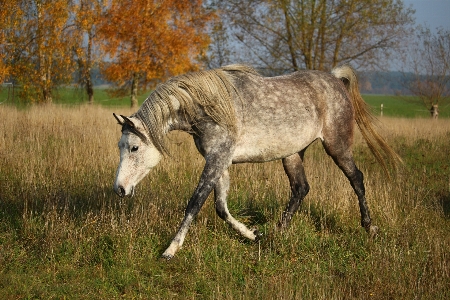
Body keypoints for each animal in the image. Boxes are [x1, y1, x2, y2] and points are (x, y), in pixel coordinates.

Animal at [112, 64, 400, 258]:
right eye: (121, 147)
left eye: (134, 147)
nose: (120, 189)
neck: (210, 107)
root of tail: (336, 81)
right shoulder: (220, 163)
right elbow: (221, 208)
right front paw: (253, 235)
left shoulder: (217, 161)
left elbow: (195, 203)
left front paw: (171, 249)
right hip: (292, 154)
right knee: (300, 188)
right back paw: (277, 232)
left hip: (337, 146)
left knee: (356, 179)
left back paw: (369, 227)